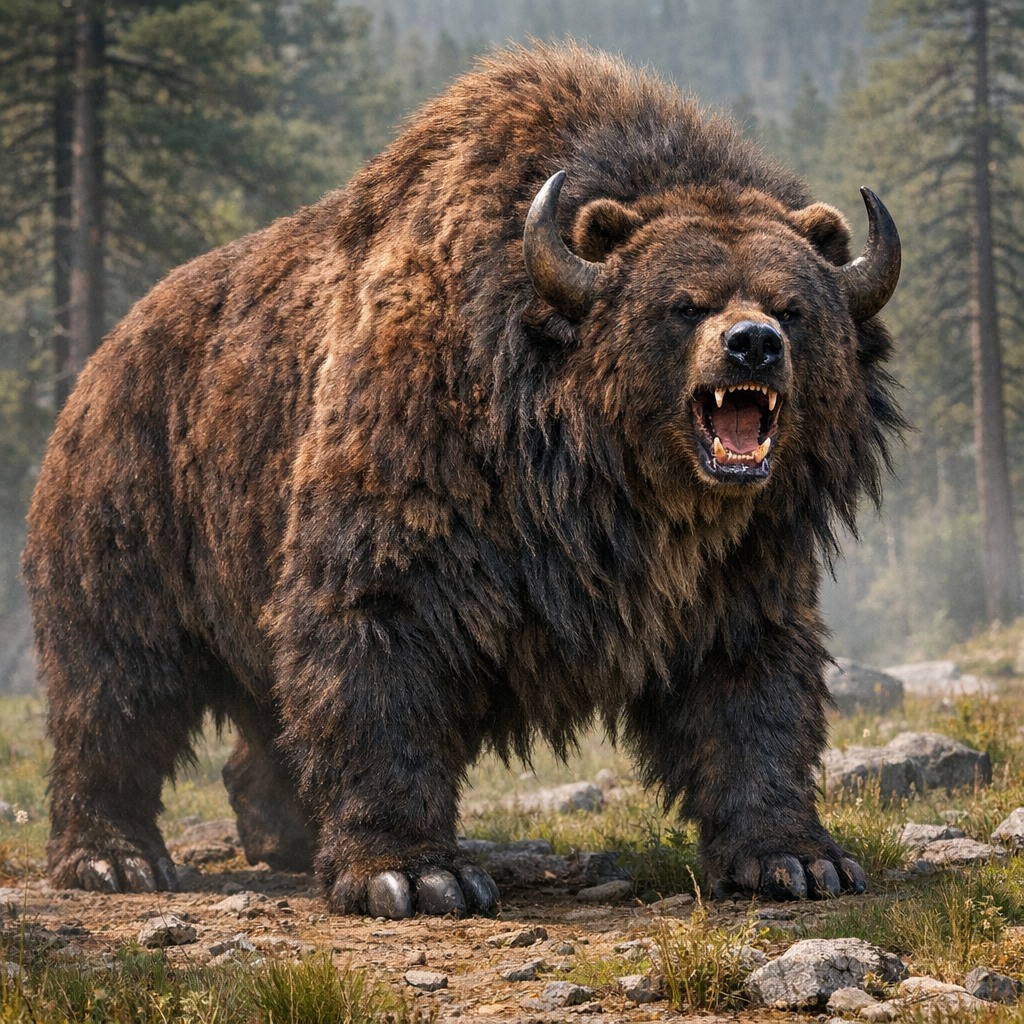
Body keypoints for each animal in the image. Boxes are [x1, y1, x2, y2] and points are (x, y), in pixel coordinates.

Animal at [23, 43, 902, 918]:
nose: (752, 344)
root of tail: (99, 354)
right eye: (685, 304)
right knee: (115, 685)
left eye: (793, 306)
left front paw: (795, 856)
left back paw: (285, 833)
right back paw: (112, 856)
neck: (607, 488)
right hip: (139, 510)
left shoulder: (736, 564)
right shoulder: (418, 488)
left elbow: (750, 683)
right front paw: (410, 871)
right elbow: (377, 647)